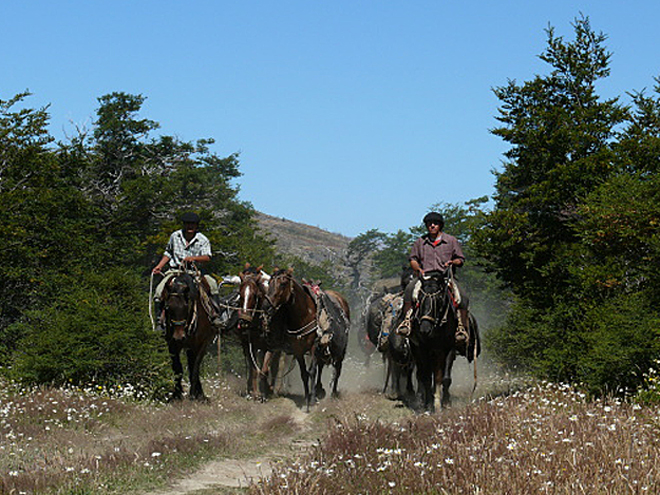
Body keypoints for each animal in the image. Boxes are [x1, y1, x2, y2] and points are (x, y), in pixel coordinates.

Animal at [162, 270, 219, 402]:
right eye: (168, 307)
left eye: (186, 306)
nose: (179, 336)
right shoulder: (172, 344)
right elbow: (177, 368)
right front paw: (177, 395)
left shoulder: (202, 344)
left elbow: (195, 368)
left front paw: (193, 395)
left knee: (193, 365)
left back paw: (199, 395)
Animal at [262, 270, 350, 412]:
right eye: (269, 282)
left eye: (283, 283)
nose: (266, 305)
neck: (303, 315)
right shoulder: (298, 351)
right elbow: (304, 374)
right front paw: (307, 399)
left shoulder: (313, 348)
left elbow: (312, 372)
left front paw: (312, 401)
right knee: (321, 366)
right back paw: (319, 389)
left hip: (339, 351)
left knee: (337, 370)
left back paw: (333, 394)